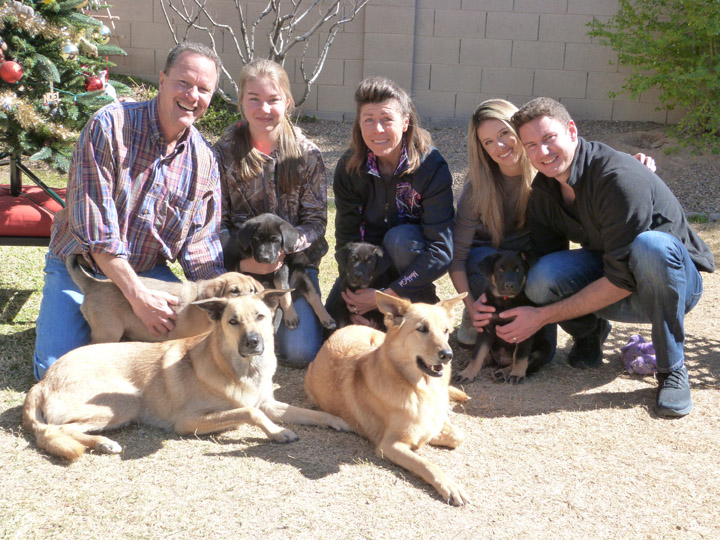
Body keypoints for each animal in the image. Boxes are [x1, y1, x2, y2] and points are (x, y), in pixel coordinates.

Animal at [26, 288, 354, 462]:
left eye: (260, 317)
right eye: (232, 321)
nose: (253, 342)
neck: (241, 370)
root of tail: (42, 383)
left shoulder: (269, 403)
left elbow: (310, 412)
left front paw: (337, 420)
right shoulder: (189, 421)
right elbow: (249, 412)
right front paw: (277, 432)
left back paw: (102, 443)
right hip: (126, 402)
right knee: (55, 430)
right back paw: (103, 442)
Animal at [306, 292, 470, 506]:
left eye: (446, 331)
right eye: (422, 329)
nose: (448, 355)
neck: (418, 388)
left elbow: (456, 435)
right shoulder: (389, 446)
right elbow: (425, 464)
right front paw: (449, 486)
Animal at [452, 252, 548, 384]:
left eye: (518, 270)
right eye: (500, 270)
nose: (509, 285)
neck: (505, 301)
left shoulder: (524, 329)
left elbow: (520, 356)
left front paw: (516, 374)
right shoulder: (485, 329)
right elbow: (477, 354)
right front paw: (468, 373)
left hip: (544, 349)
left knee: (527, 361)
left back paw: (503, 373)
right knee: (485, 355)